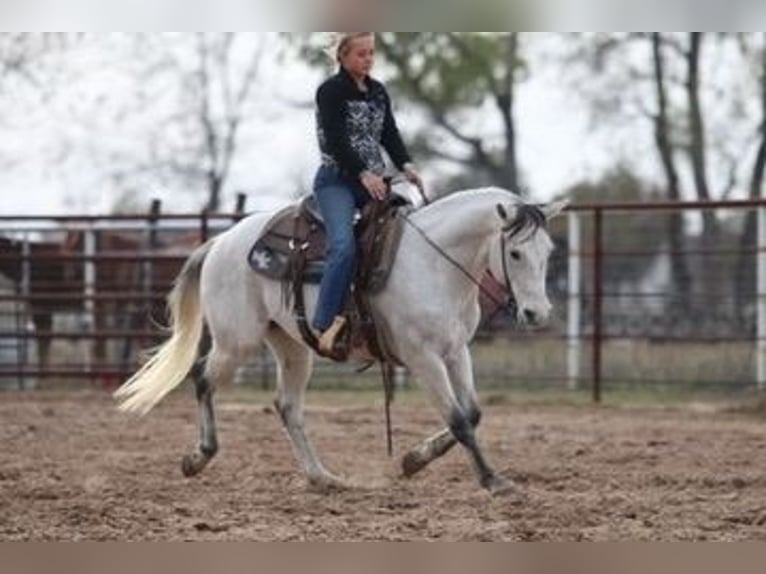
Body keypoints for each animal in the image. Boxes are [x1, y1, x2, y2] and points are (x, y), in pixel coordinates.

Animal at [114, 188, 567, 496]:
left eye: (548, 251)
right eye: (516, 254)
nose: (537, 313)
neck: (434, 265)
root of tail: (220, 242)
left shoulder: (456, 352)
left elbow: (472, 414)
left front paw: (412, 461)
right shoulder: (423, 357)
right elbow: (457, 419)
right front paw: (493, 480)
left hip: (293, 346)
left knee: (287, 405)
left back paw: (322, 477)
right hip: (235, 341)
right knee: (203, 379)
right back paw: (199, 456)